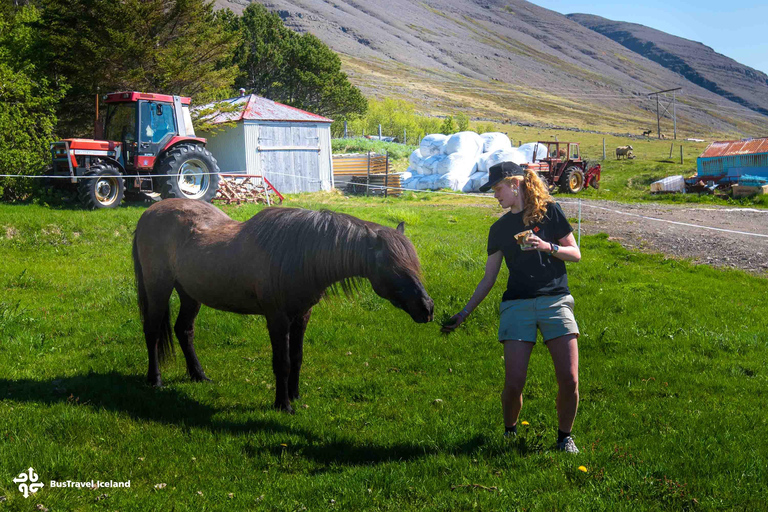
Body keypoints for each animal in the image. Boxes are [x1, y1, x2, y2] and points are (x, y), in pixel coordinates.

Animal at [132, 199, 434, 413]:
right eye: (393, 268)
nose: (427, 308)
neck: (298, 254)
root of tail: (149, 213)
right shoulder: (276, 318)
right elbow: (282, 361)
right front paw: (283, 404)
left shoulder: (302, 315)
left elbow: (297, 357)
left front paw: (295, 395)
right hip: (158, 287)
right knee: (152, 331)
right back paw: (155, 379)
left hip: (190, 294)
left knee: (184, 331)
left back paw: (199, 375)